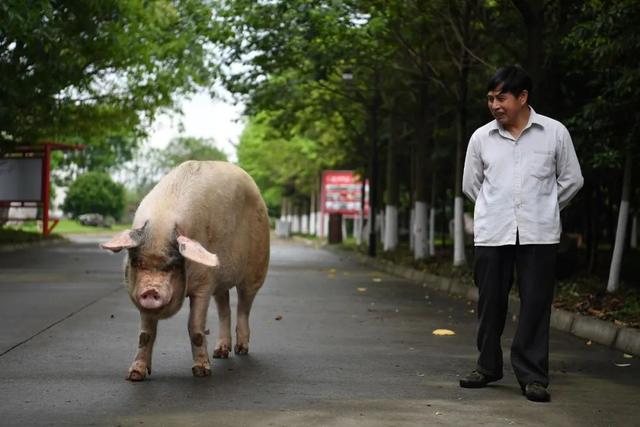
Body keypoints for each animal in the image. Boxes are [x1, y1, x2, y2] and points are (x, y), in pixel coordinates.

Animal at [100, 160, 270, 382]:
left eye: (172, 265)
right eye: (138, 263)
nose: (151, 291)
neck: (161, 225)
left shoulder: (204, 285)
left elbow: (195, 328)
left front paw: (202, 372)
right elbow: (145, 334)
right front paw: (135, 375)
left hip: (256, 267)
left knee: (244, 306)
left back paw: (241, 350)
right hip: (220, 281)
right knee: (224, 308)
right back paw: (220, 353)